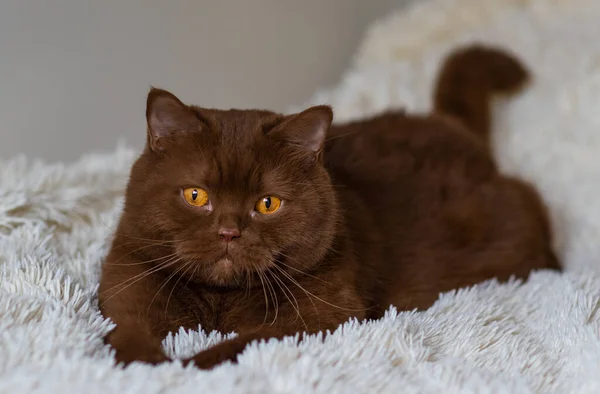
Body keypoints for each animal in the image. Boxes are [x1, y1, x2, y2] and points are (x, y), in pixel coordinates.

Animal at [97, 44, 556, 370]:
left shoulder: (322, 315)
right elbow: (127, 329)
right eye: (196, 196)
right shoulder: (126, 282)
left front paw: (189, 366)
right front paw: (145, 365)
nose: (229, 231)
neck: (219, 300)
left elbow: (247, 341)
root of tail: (453, 129)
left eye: (268, 203)